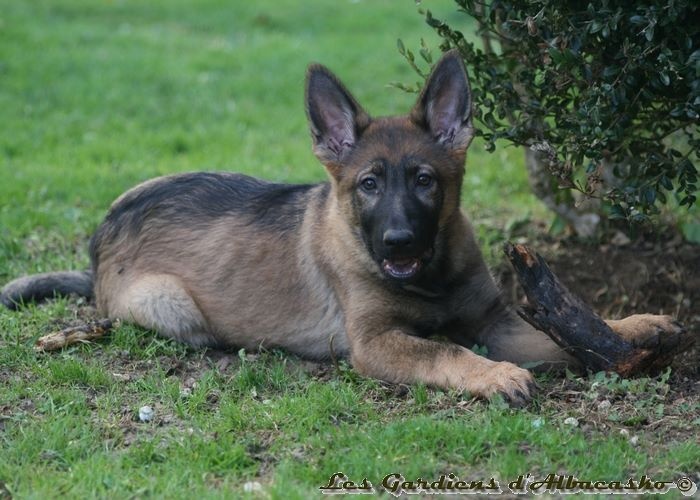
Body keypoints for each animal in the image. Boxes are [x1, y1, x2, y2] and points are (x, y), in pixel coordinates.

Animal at [1, 49, 684, 406]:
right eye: (368, 184)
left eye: (425, 181)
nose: (398, 242)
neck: (430, 277)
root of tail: (100, 239)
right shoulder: (377, 343)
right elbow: (443, 348)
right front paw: (492, 375)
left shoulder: (496, 323)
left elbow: (569, 336)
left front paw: (636, 327)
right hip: (170, 305)